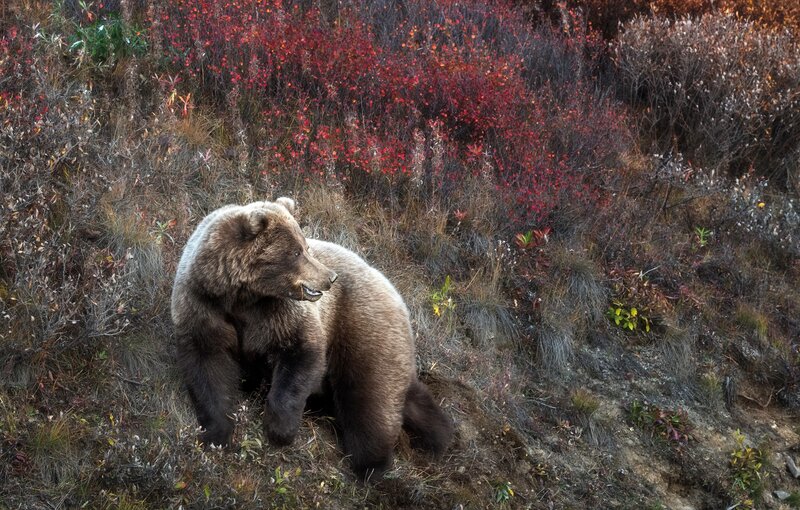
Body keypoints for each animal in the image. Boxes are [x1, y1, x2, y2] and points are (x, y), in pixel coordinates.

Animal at [171, 197, 453, 478]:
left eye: (305, 246)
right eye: (296, 252)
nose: (330, 278)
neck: (241, 297)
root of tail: (394, 290)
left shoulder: (278, 314)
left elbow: (300, 352)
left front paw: (280, 429)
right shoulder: (203, 307)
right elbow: (208, 367)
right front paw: (217, 433)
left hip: (362, 330)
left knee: (369, 399)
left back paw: (372, 466)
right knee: (407, 395)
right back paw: (440, 434)